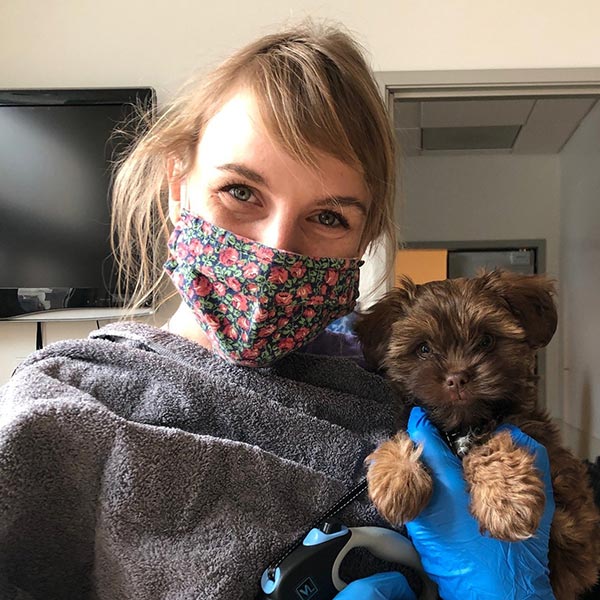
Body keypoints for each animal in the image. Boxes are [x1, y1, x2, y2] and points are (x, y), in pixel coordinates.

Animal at [356, 272, 600, 600]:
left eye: (486, 340)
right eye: (423, 349)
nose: (457, 378)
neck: (464, 425)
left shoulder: (547, 454)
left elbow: (496, 444)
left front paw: (506, 503)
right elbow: (405, 433)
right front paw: (395, 478)